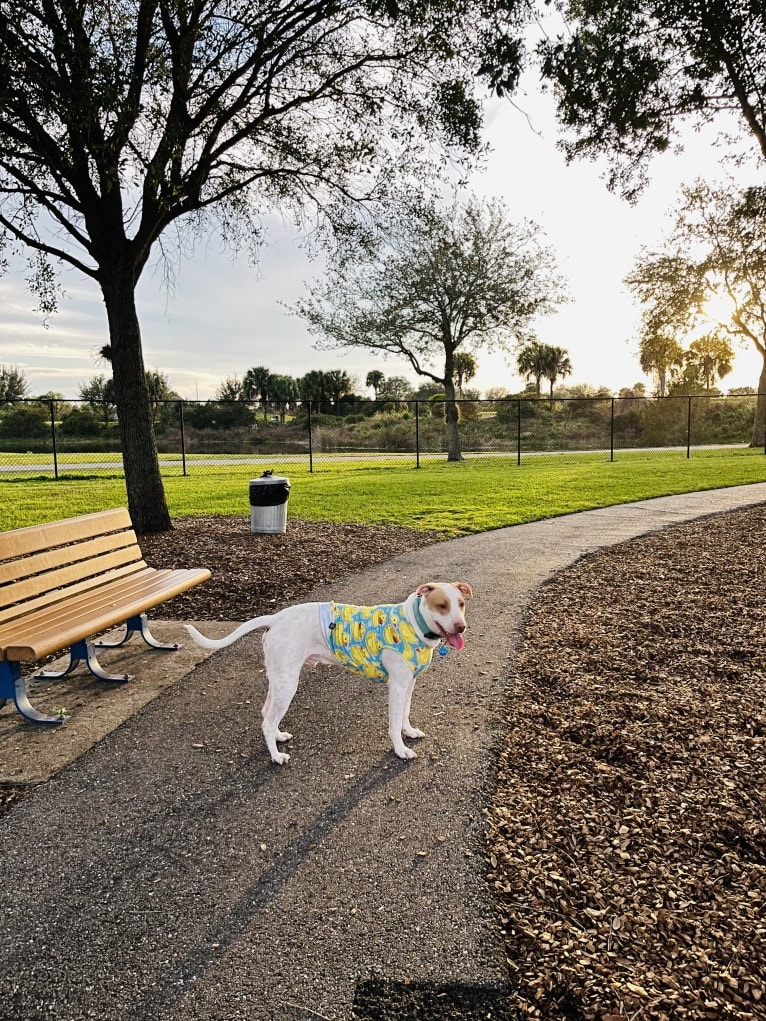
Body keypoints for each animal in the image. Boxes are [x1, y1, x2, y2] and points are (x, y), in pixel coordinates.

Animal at [185, 584, 473, 767]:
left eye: (460, 604)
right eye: (442, 605)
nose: (461, 626)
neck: (414, 623)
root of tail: (275, 618)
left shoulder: (409, 685)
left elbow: (405, 714)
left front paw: (409, 732)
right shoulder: (397, 687)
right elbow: (393, 725)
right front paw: (400, 750)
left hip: (279, 679)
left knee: (267, 713)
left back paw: (278, 737)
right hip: (288, 684)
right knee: (267, 721)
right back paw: (276, 757)